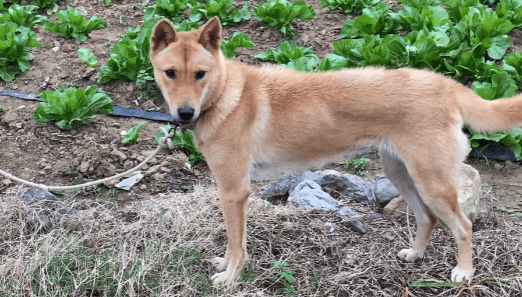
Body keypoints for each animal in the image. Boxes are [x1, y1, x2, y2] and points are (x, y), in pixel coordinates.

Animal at [148, 17, 520, 286]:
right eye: (170, 74)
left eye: (200, 74)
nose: (184, 114)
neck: (225, 94)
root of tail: (446, 84)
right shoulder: (230, 194)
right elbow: (232, 242)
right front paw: (226, 266)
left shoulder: (234, 192)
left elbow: (237, 244)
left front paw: (230, 277)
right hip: (400, 173)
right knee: (426, 217)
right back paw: (414, 256)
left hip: (432, 182)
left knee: (462, 225)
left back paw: (465, 272)